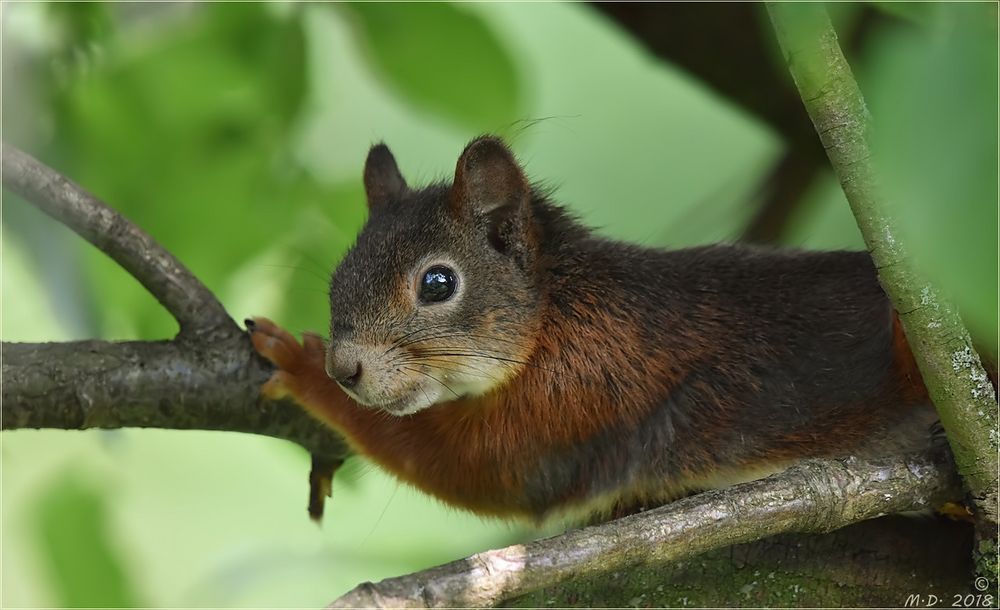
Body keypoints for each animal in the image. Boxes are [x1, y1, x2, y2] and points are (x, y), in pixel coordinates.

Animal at [250, 135, 936, 520]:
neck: (559, 313)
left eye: (437, 284)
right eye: (338, 277)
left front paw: (300, 366)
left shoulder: (580, 394)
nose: (345, 369)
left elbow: (473, 466)